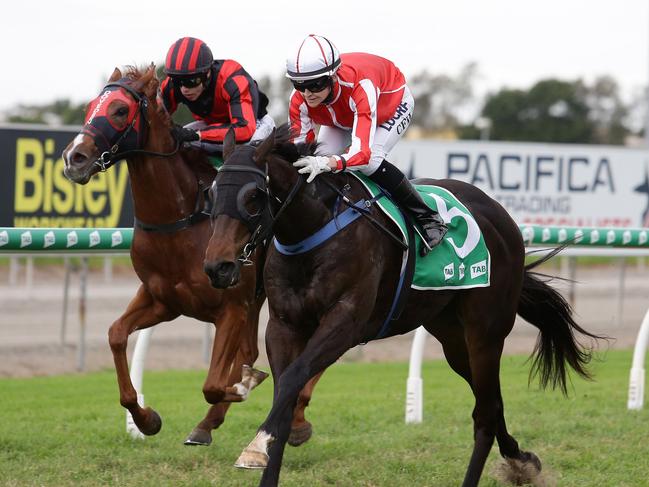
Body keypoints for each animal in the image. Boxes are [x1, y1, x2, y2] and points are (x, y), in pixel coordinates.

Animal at [62, 66, 318, 448]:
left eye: (120, 110)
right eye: (91, 106)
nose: (73, 158)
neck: (180, 220)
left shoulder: (232, 307)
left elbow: (214, 383)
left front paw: (243, 386)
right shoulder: (162, 300)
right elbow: (116, 334)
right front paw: (146, 419)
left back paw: (295, 418)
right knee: (252, 352)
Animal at [204, 127, 604, 487]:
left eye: (254, 196)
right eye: (211, 192)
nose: (217, 267)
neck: (315, 228)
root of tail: (502, 216)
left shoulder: (345, 323)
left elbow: (292, 380)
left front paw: (255, 446)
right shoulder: (284, 325)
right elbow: (286, 392)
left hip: (486, 332)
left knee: (486, 413)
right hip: (452, 338)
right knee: (491, 401)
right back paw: (522, 461)